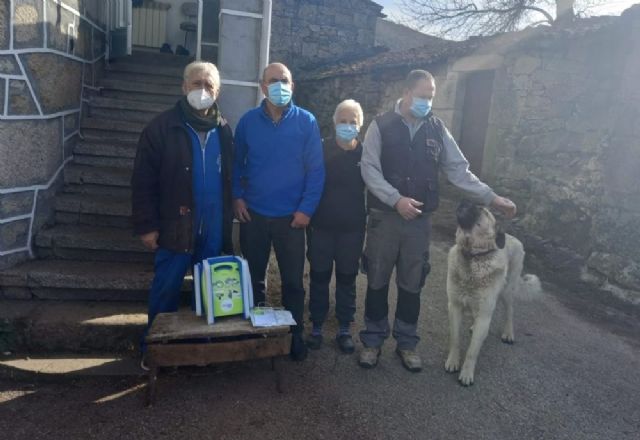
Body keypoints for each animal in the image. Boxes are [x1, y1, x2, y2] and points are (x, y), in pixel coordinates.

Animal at [444, 201, 540, 386]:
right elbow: (455, 338)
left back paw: (508, 333)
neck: (473, 256)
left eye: (482, 210)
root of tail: (514, 238)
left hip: (507, 293)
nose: (464, 201)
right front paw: (453, 361)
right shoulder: (454, 307)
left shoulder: (484, 313)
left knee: (509, 312)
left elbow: (472, 351)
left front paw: (467, 374)